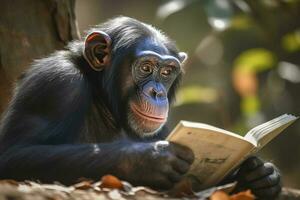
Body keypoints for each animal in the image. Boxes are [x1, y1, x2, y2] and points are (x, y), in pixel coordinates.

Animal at [0, 16, 282, 198]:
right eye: (146, 67)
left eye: (167, 72)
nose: (157, 92)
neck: (104, 99)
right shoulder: (55, 84)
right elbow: (15, 153)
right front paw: (149, 159)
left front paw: (259, 175)